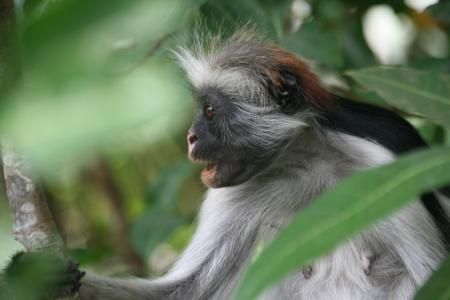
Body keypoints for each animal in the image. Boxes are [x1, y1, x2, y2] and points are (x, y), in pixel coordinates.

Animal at [3, 28, 450, 300]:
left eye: (210, 111)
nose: (190, 136)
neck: (308, 160)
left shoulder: (386, 163)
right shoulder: (235, 192)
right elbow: (184, 291)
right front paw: (29, 277)